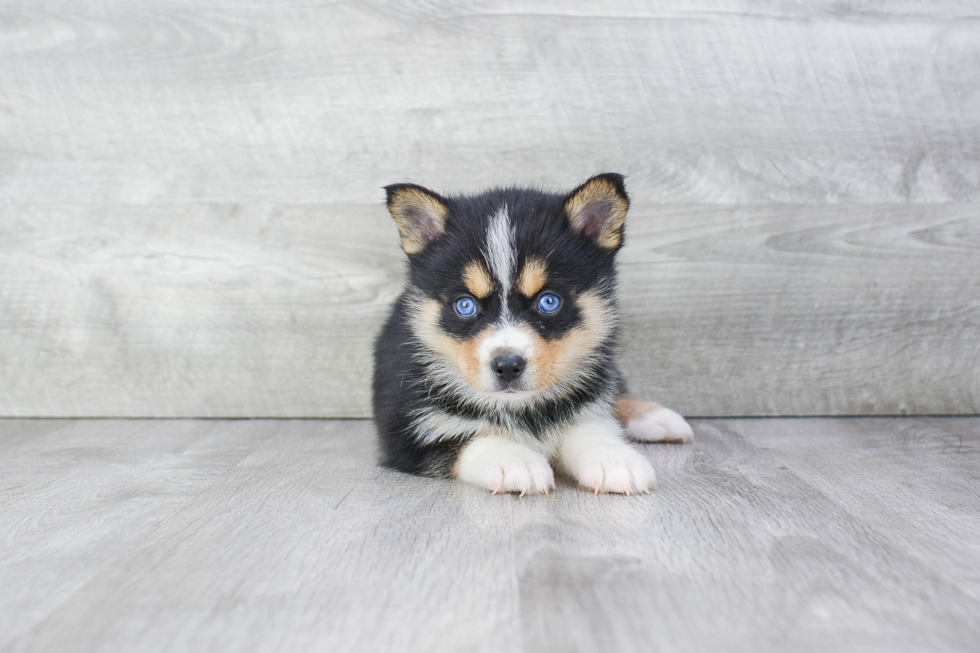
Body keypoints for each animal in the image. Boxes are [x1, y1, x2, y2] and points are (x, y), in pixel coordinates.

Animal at [372, 173, 692, 494]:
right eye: (465, 305)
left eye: (549, 301)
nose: (507, 365)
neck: (521, 409)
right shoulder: (404, 429)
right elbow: (467, 437)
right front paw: (513, 461)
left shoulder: (588, 400)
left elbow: (591, 424)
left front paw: (613, 459)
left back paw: (657, 418)